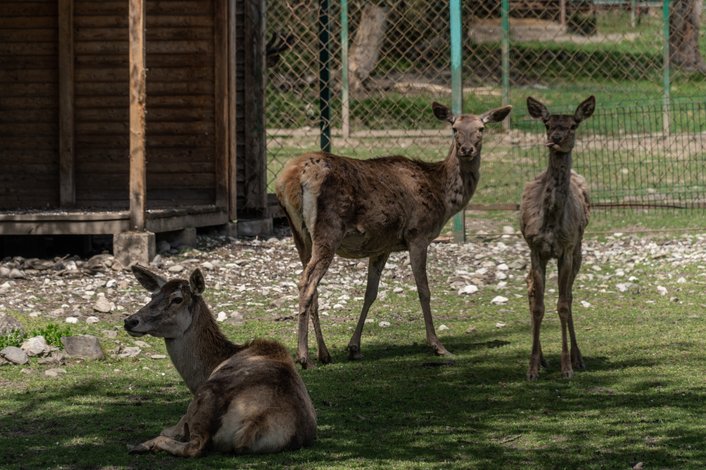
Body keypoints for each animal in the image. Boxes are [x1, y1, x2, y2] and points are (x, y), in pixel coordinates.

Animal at [124, 266, 316, 458]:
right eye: (152, 296)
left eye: (177, 299)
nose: (130, 321)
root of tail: (254, 424)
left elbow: (169, 429)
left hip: (205, 398)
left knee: (194, 445)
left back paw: (142, 445)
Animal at [276, 101, 512, 370]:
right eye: (454, 128)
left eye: (481, 128)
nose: (466, 149)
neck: (441, 195)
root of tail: (291, 178)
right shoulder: (418, 234)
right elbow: (424, 290)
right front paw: (438, 346)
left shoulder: (382, 245)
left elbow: (370, 293)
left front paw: (354, 347)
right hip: (329, 229)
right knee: (306, 282)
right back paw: (303, 356)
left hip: (300, 235)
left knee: (310, 284)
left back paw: (324, 353)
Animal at [516, 94, 592, 378]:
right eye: (547, 123)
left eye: (573, 125)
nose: (557, 138)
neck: (549, 220)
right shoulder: (535, 248)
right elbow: (539, 306)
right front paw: (532, 368)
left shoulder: (566, 249)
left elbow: (562, 305)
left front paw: (566, 367)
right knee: (529, 283)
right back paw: (543, 359)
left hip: (579, 248)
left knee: (568, 296)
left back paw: (578, 357)